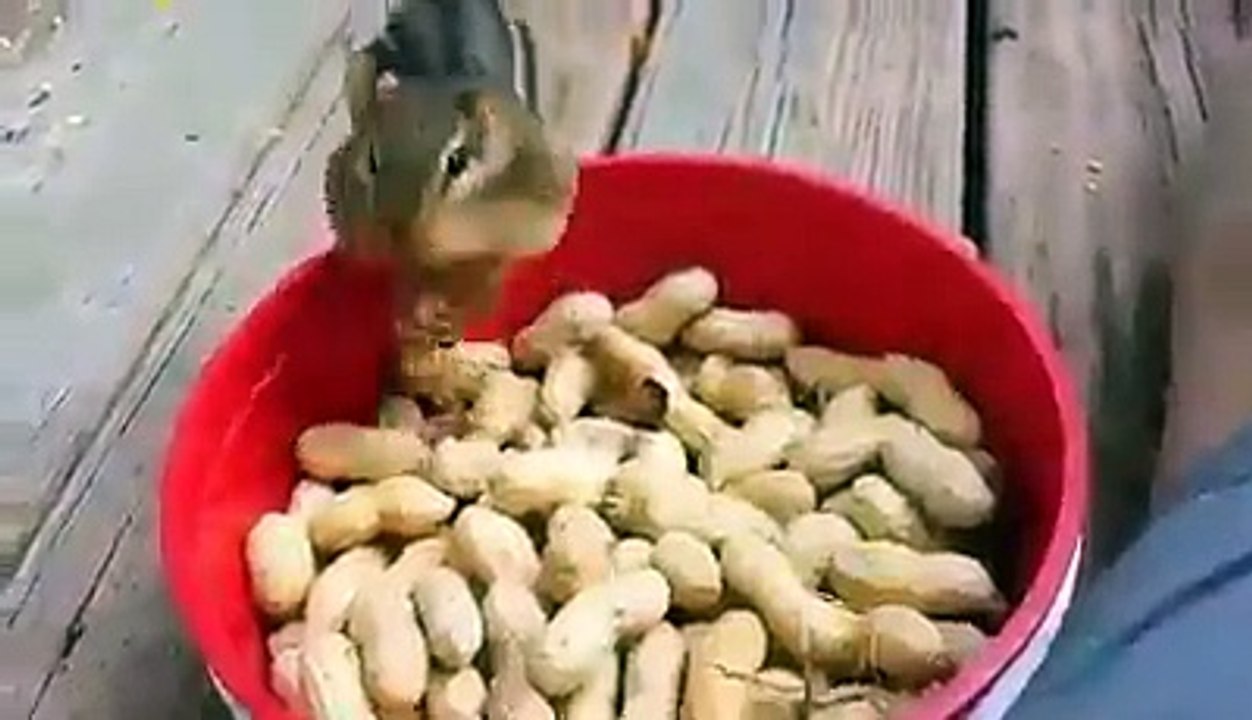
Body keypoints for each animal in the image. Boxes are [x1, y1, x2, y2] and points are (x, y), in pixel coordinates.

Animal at [325, 0, 578, 351]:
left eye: (457, 162)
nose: (395, 229)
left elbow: (490, 274)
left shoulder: (526, 227)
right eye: (372, 160)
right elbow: (402, 275)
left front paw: (455, 316)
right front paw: (408, 312)